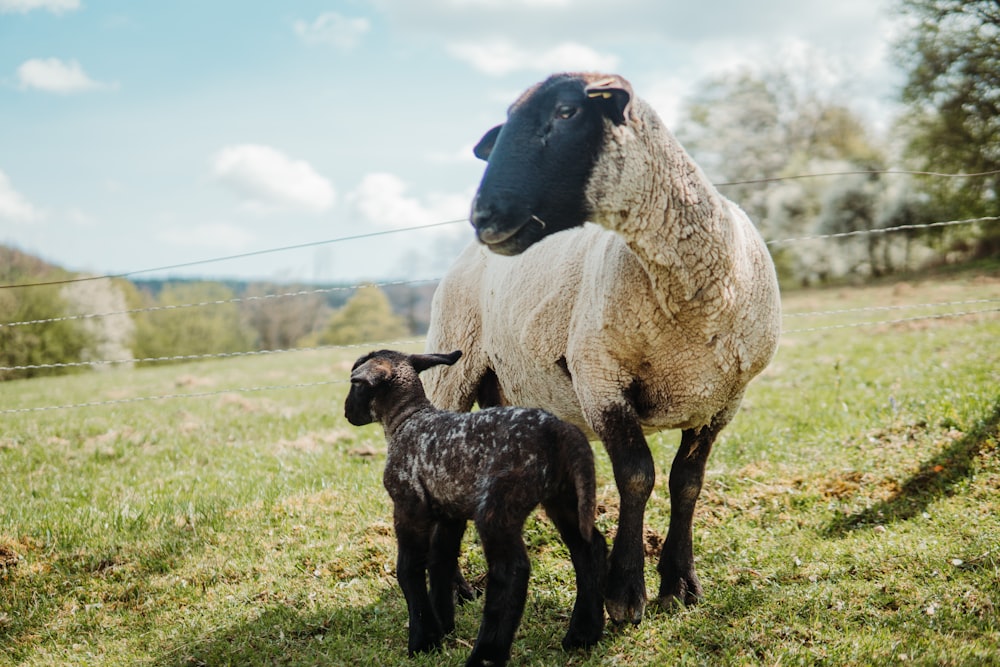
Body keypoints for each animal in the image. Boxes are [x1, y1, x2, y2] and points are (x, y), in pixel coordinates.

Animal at [422, 74, 780, 628]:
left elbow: (687, 483)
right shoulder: (600, 377)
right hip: (451, 370)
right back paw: (457, 588)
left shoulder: (722, 402)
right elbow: (636, 477)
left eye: (567, 112)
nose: (482, 217)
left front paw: (680, 584)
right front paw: (625, 593)